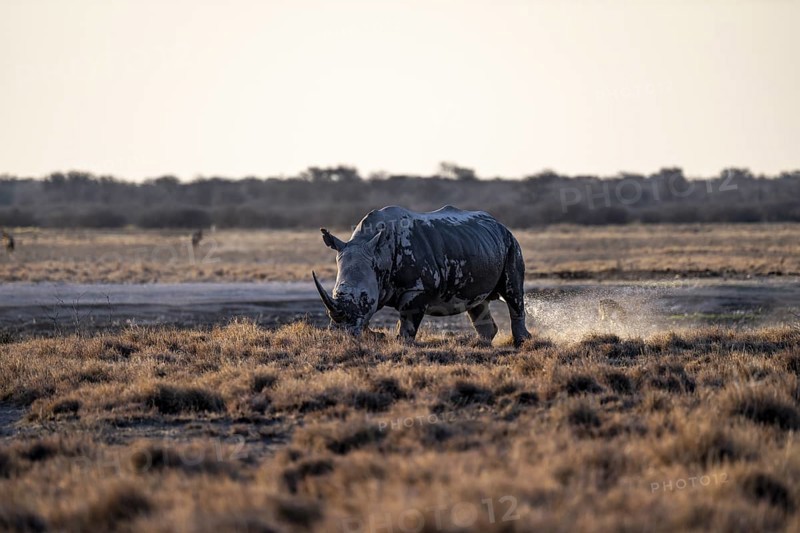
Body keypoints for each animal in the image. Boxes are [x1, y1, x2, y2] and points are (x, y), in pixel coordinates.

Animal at [312, 205, 532, 346]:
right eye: (335, 293)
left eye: (364, 297)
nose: (340, 332)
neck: (378, 254)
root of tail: (500, 224)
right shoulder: (376, 280)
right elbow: (369, 318)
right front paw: (376, 336)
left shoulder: (416, 288)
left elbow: (408, 319)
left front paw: (402, 344)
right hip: (479, 244)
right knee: (477, 302)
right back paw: (480, 345)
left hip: (511, 243)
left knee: (513, 292)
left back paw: (521, 343)